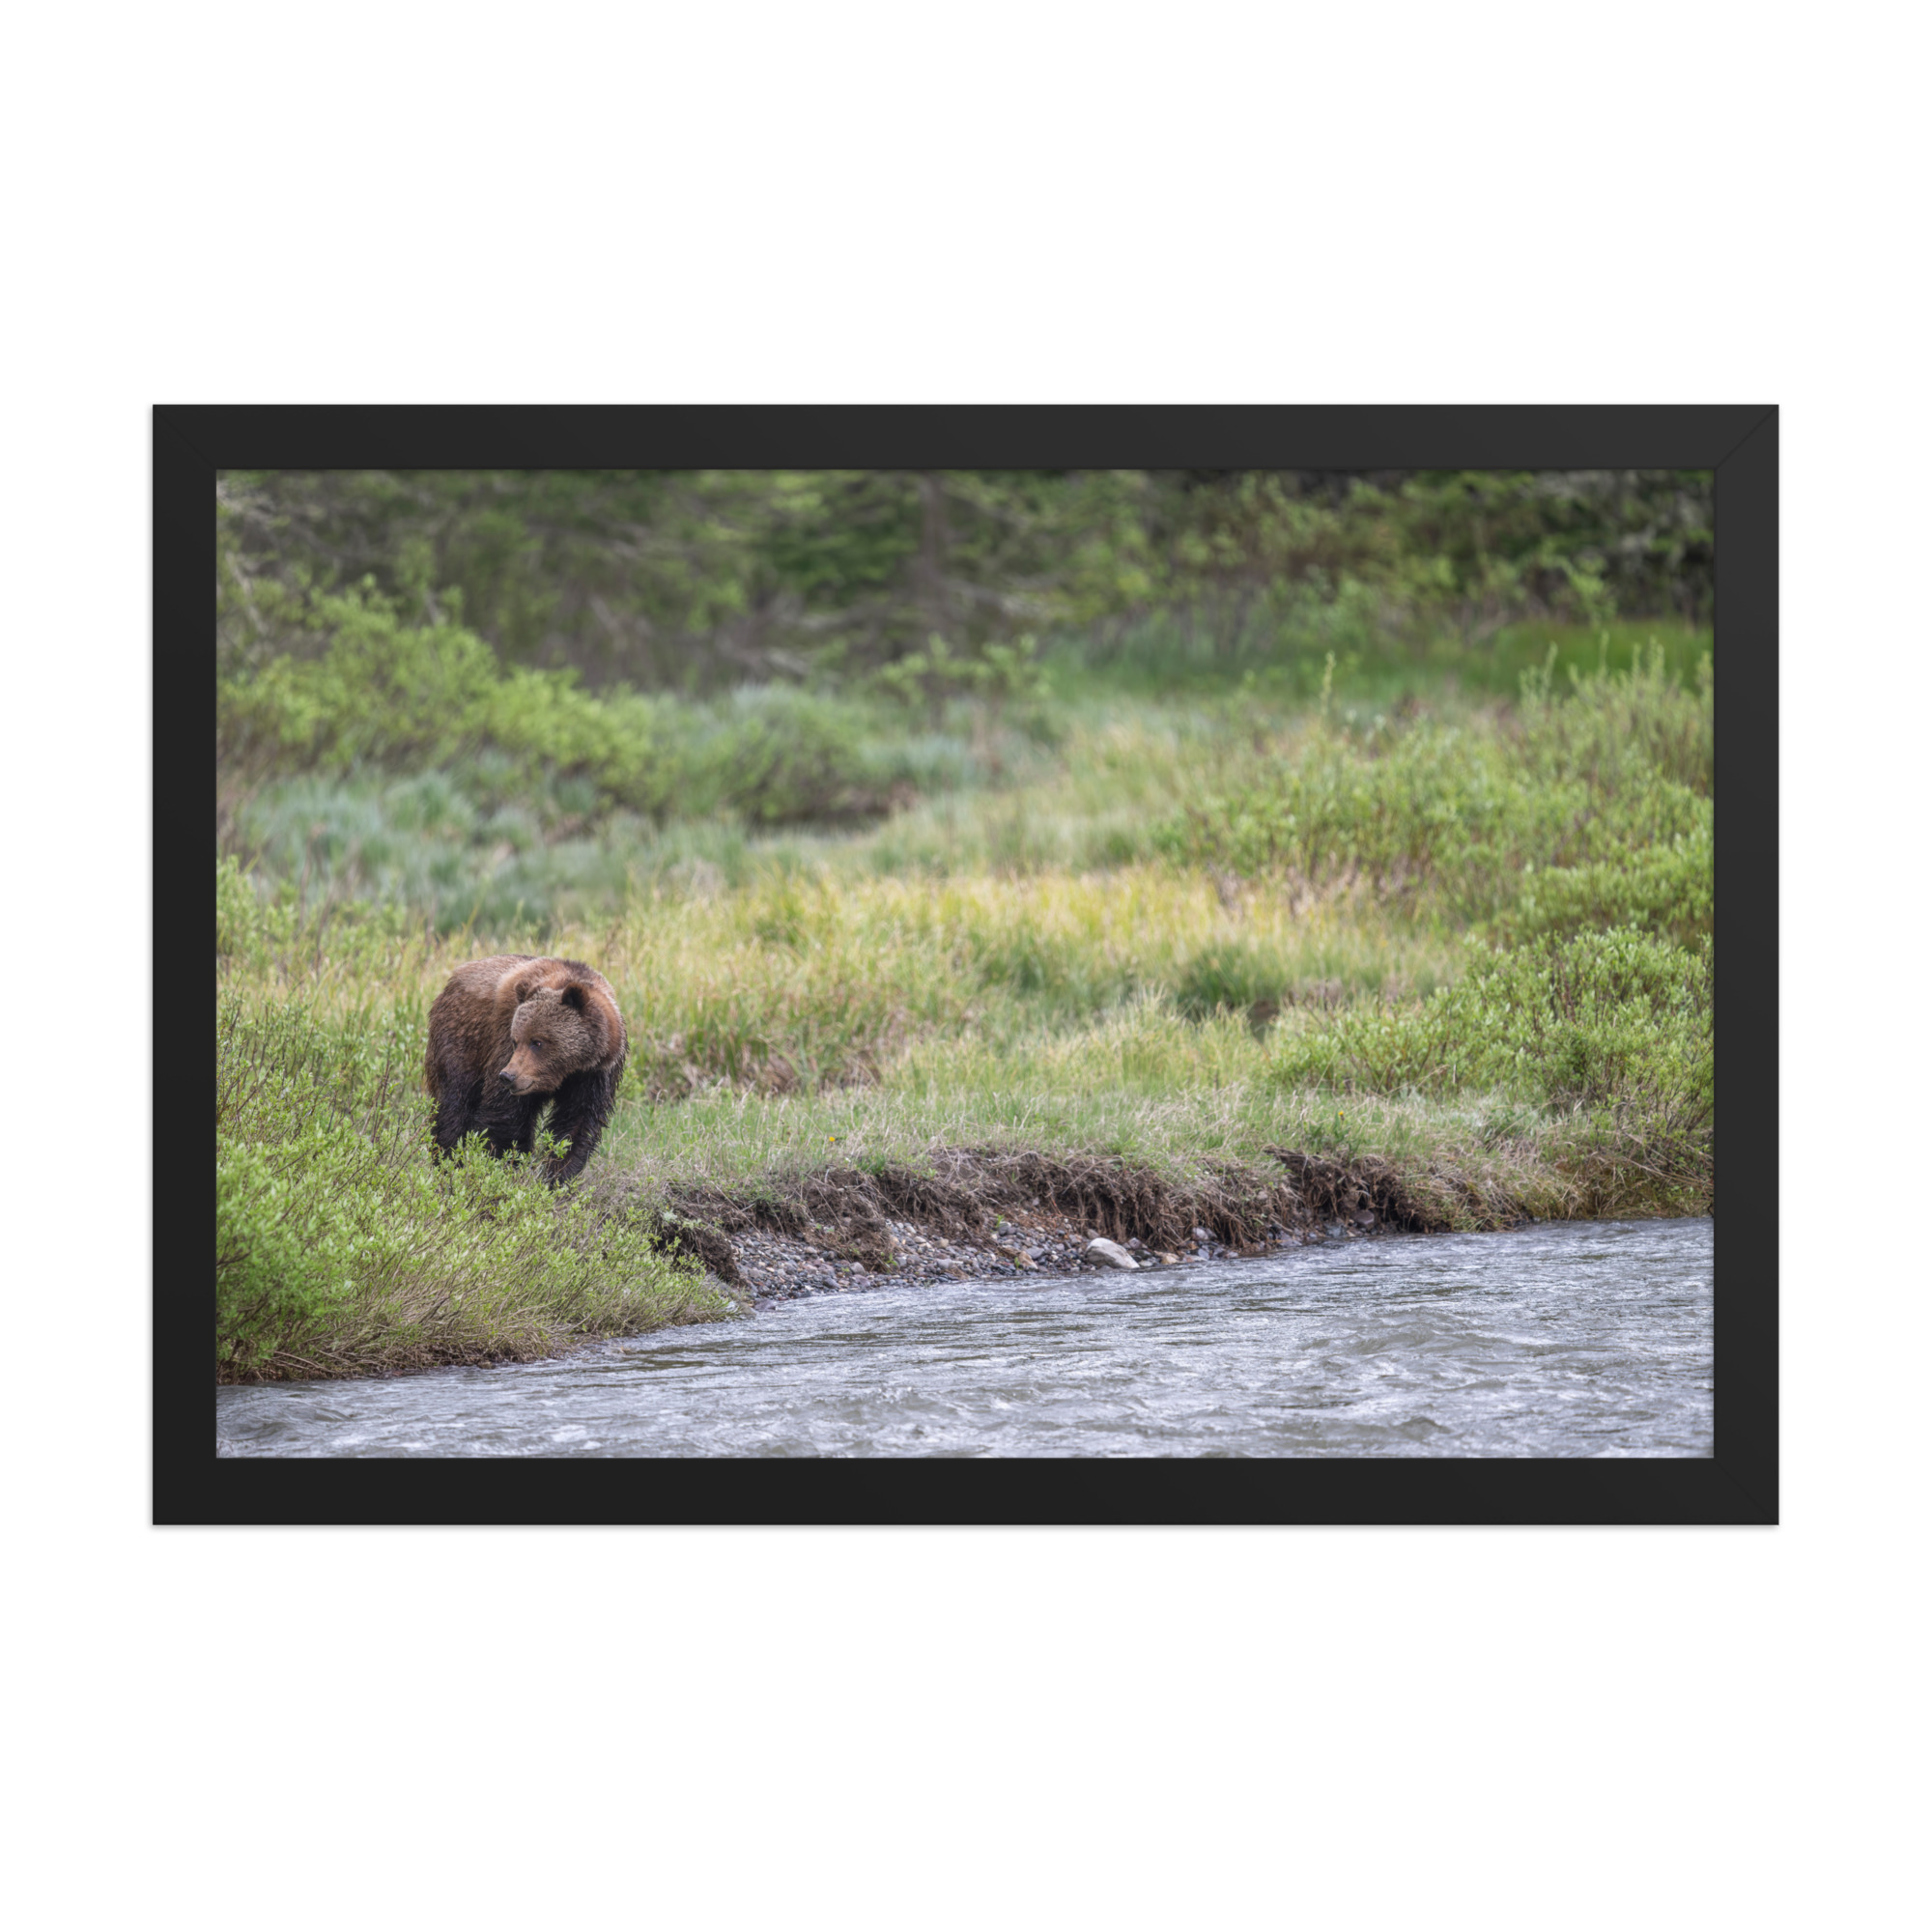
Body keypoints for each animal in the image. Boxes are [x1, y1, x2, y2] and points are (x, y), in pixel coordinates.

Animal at [424, 955, 628, 1183]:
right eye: (516, 1040)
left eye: (537, 1042)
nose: (508, 1076)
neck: (568, 1071)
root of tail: (453, 978)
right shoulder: (503, 1044)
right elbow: (506, 1116)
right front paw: (504, 1168)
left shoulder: (594, 1076)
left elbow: (576, 1125)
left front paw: (557, 1177)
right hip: (462, 1041)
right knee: (454, 1105)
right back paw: (448, 1164)